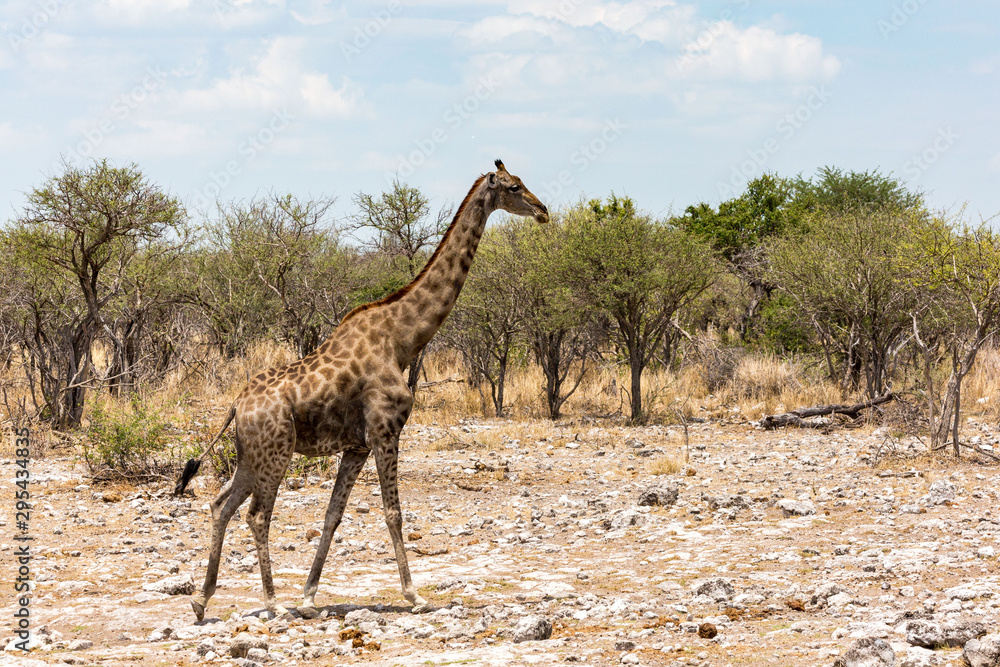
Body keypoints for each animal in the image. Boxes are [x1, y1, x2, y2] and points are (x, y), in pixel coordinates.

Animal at [179, 160, 549, 621]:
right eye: (514, 187)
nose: (543, 211)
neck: (403, 339)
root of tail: (236, 405)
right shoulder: (385, 431)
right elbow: (393, 512)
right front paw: (413, 595)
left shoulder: (356, 445)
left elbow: (333, 515)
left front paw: (309, 597)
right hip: (276, 452)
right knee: (257, 515)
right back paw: (271, 603)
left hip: (250, 455)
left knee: (220, 504)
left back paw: (201, 600)